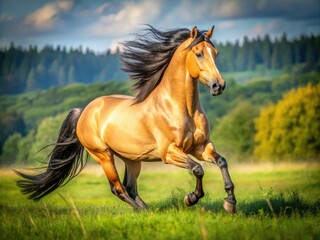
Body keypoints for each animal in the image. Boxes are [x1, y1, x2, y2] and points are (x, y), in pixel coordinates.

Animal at [15, 25, 236, 214]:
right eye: (199, 53)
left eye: (216, 53)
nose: (219, 85)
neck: (181, 109)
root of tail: (85, 111)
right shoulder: (170, 152)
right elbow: (198, 169)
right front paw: (191, 198)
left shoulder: (201, 147)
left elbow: (222, 162)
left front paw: (230, 202)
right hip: (103, 155)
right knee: (118, 188)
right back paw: (142, 211)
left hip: (132, 159)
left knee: (130, 187)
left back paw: (146, 209)